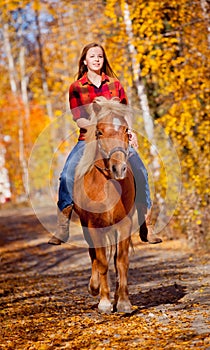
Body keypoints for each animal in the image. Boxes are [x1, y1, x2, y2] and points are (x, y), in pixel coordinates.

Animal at [74, 96, 136, 314]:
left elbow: (121, 261)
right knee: (93, 253)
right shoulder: (94, 226)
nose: (119, 168)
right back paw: (94, 287)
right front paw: (105, 302)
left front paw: (123, 301)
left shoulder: (124, 224)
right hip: (86, 226)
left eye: (126, 130)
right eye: (99, 132)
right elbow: (101, 262)